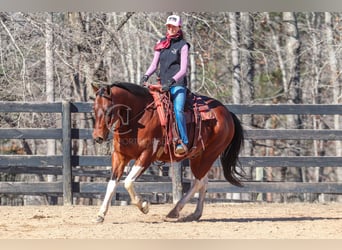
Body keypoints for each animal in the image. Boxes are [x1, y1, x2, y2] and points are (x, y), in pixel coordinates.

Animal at [92, 82, 244, 223]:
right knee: (203, 182)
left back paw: (175, 211)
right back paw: (195, 214)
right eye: (94, 109)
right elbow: (112, 184)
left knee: (198, 182)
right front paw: (100, 215)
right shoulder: (119, 156)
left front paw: (143, 205)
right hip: (198, 157)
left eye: (108, 110)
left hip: (209, 156)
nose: (97, 137)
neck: (140, 116)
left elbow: (128, 181)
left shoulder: (147, 156)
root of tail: (227, 113)